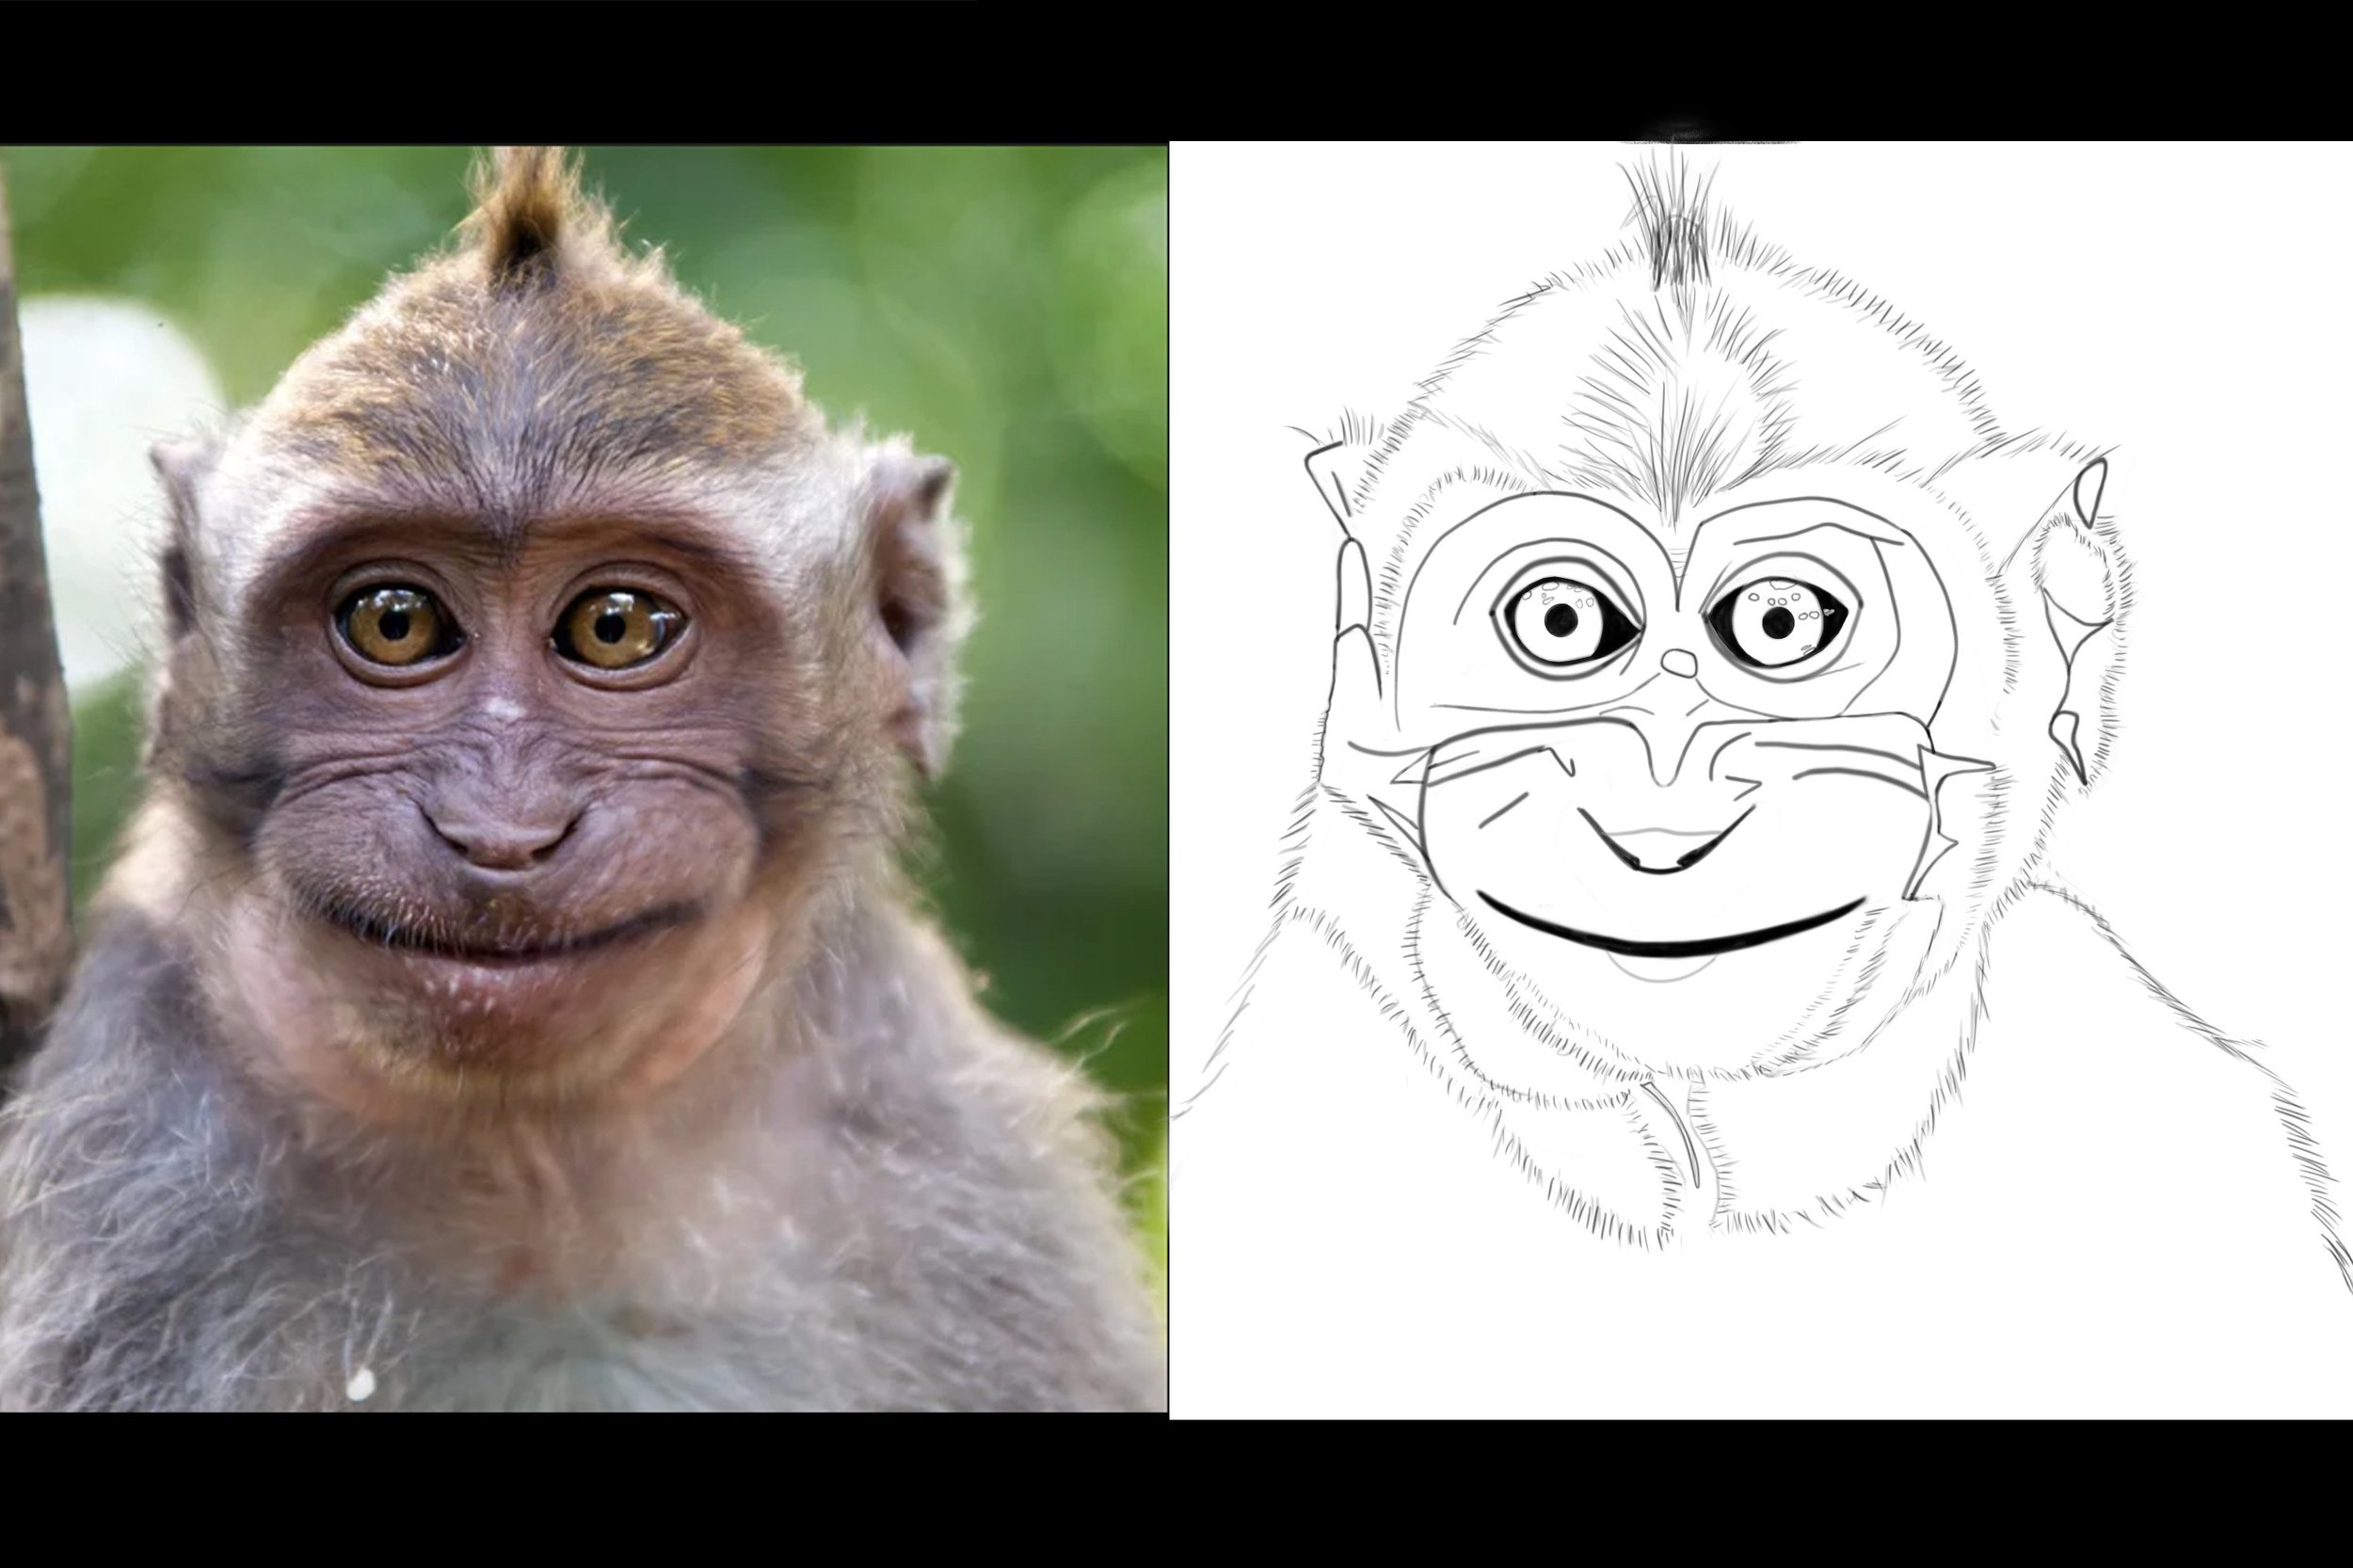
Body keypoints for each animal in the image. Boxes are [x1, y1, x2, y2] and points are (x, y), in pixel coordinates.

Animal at [0, 148, 1167, 1412]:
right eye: (396, 621)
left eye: (615, 626)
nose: (500, 831)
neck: (537, 1162)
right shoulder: (124, 1176)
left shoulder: (958, 1166)